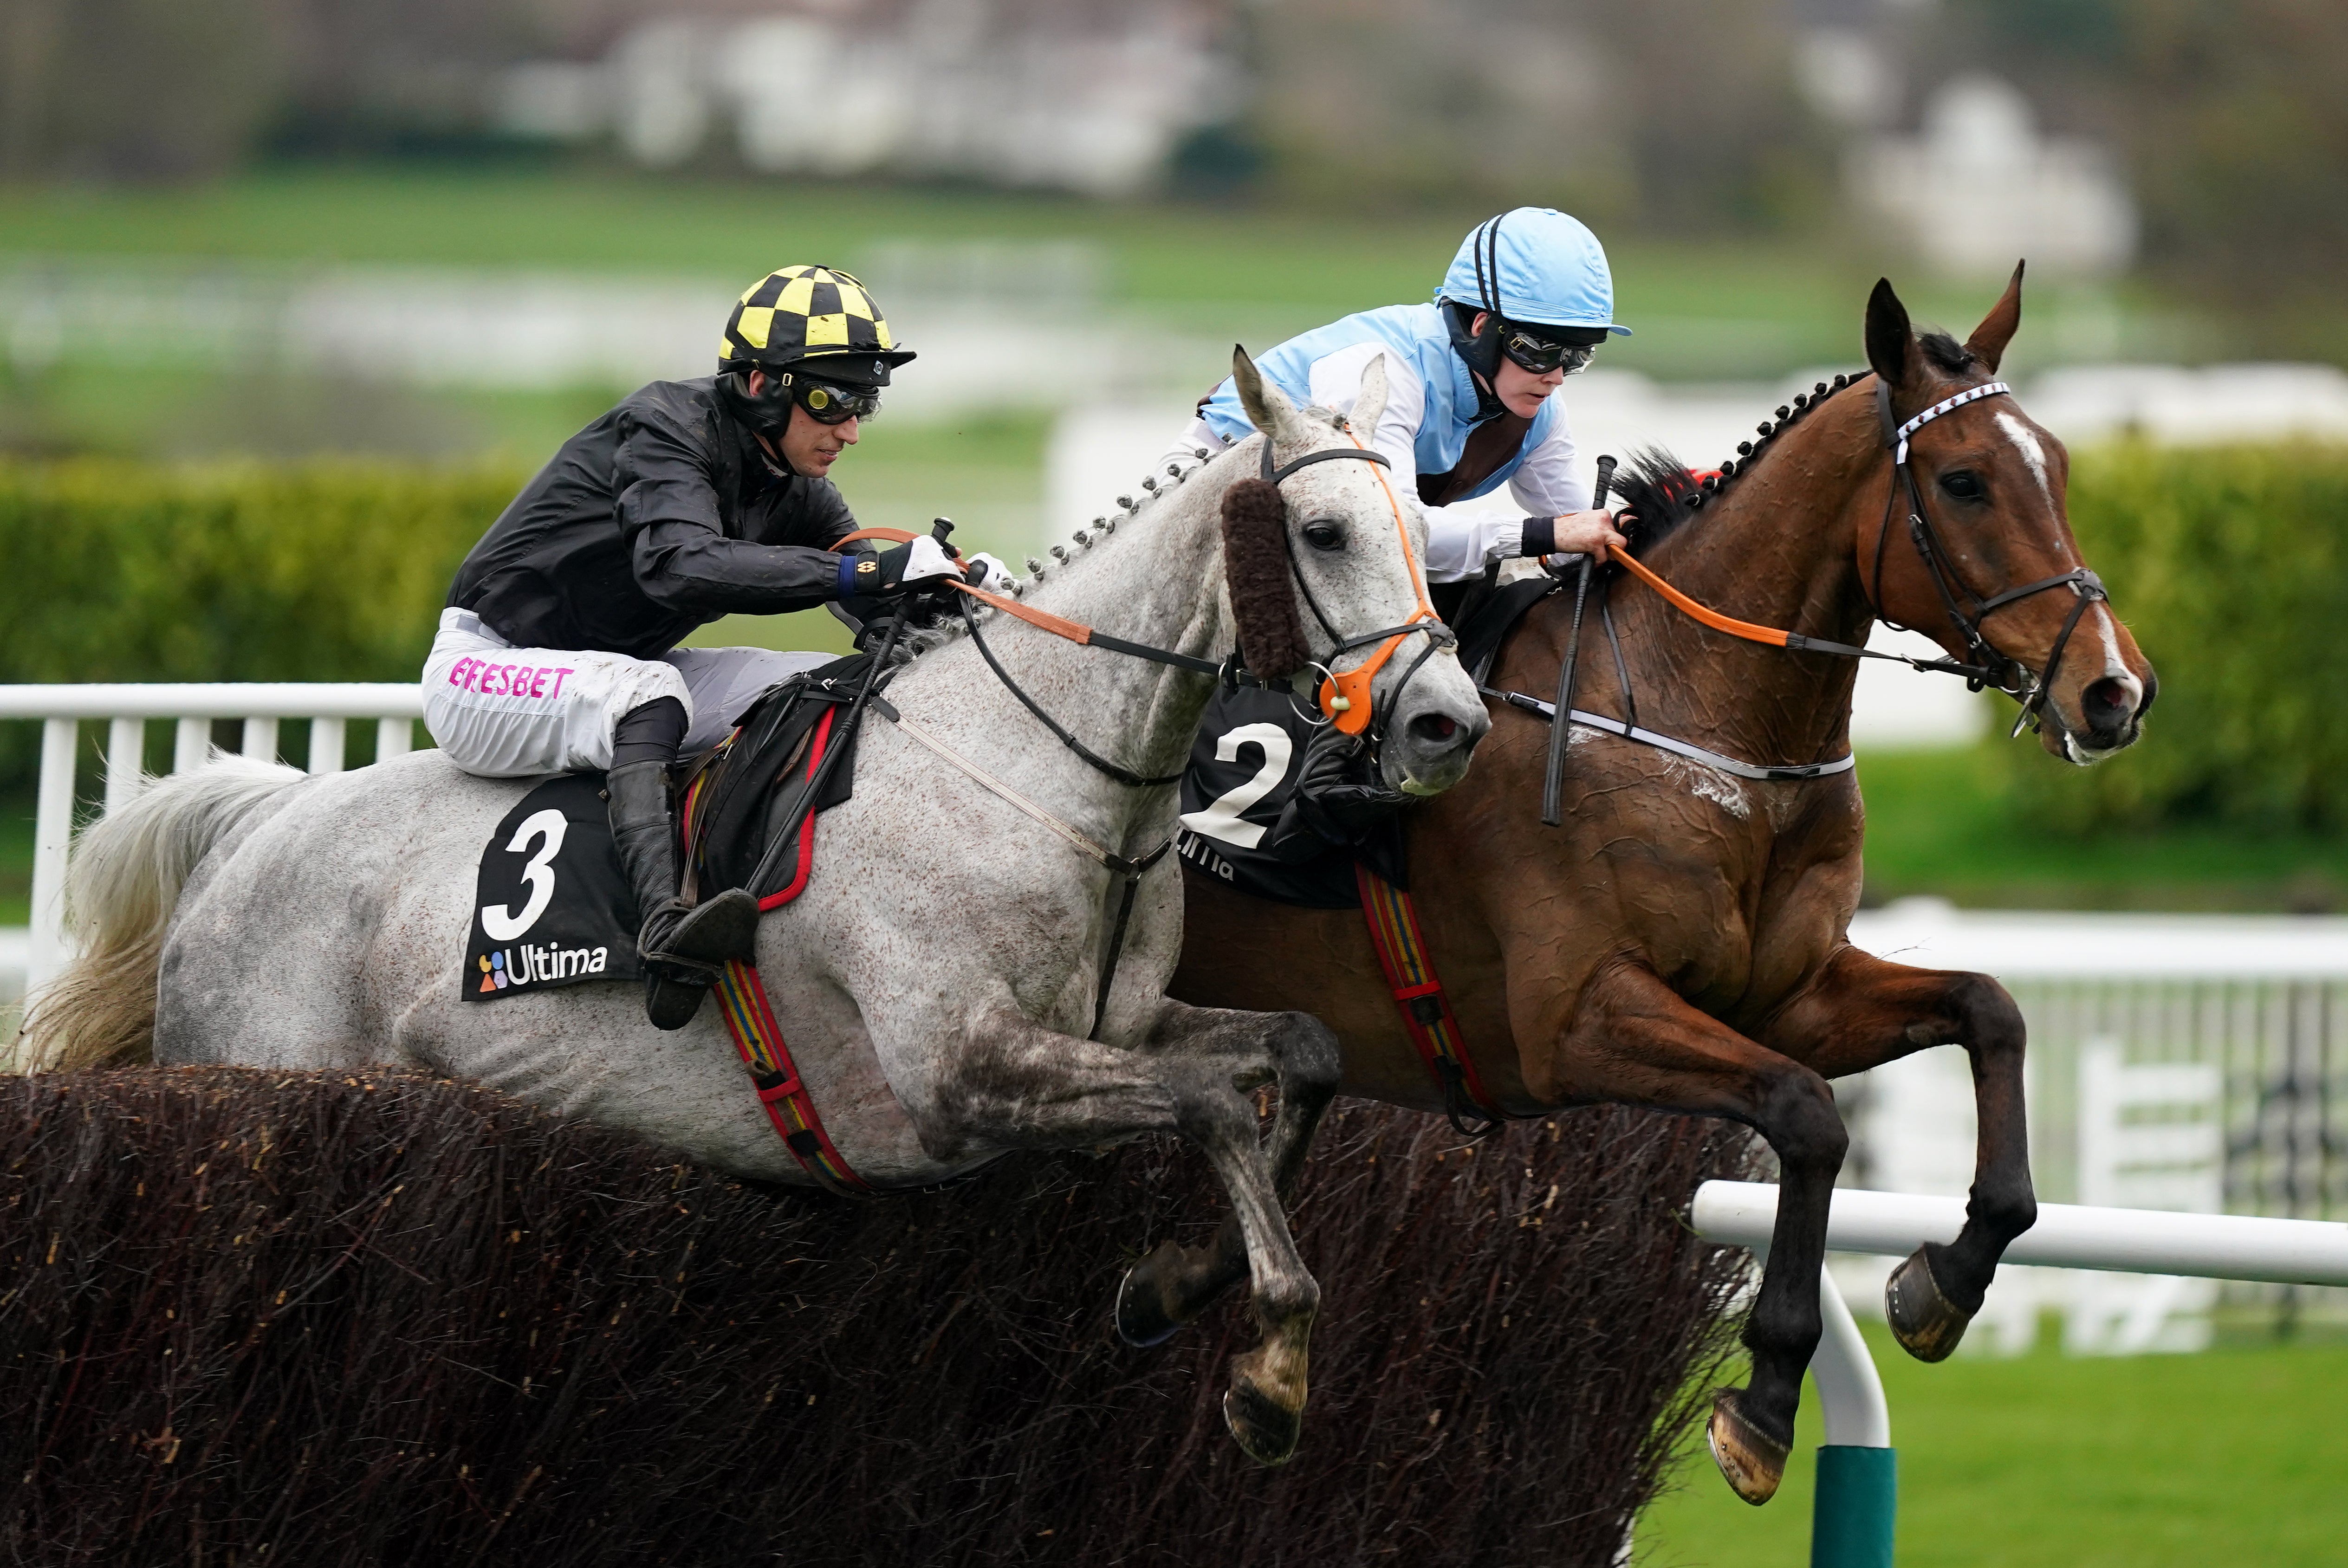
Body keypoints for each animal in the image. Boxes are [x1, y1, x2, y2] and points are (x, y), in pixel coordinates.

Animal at [23, 350, 1484, 1464]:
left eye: (1422, 530)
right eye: (1324, 532)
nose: (1446, 722)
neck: (1035, 771)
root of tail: (255, 825)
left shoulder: (1111, 1029)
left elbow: (1297, 1053)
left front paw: (1175, 1285)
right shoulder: (954, 1073)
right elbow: (1209, 1105)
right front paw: (1268, 1367)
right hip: (267, 1062)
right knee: (645, 704)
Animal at [1146, 266, 2151, 1493]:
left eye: (2055, 461)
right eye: (1963, 482)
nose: (2114, 691)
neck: (1699, 722)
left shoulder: (1788, 995)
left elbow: (1990, 1010)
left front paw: (1940, 1282)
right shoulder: (1572, 1022)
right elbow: (1807, 1116)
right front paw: (1765, 1401)